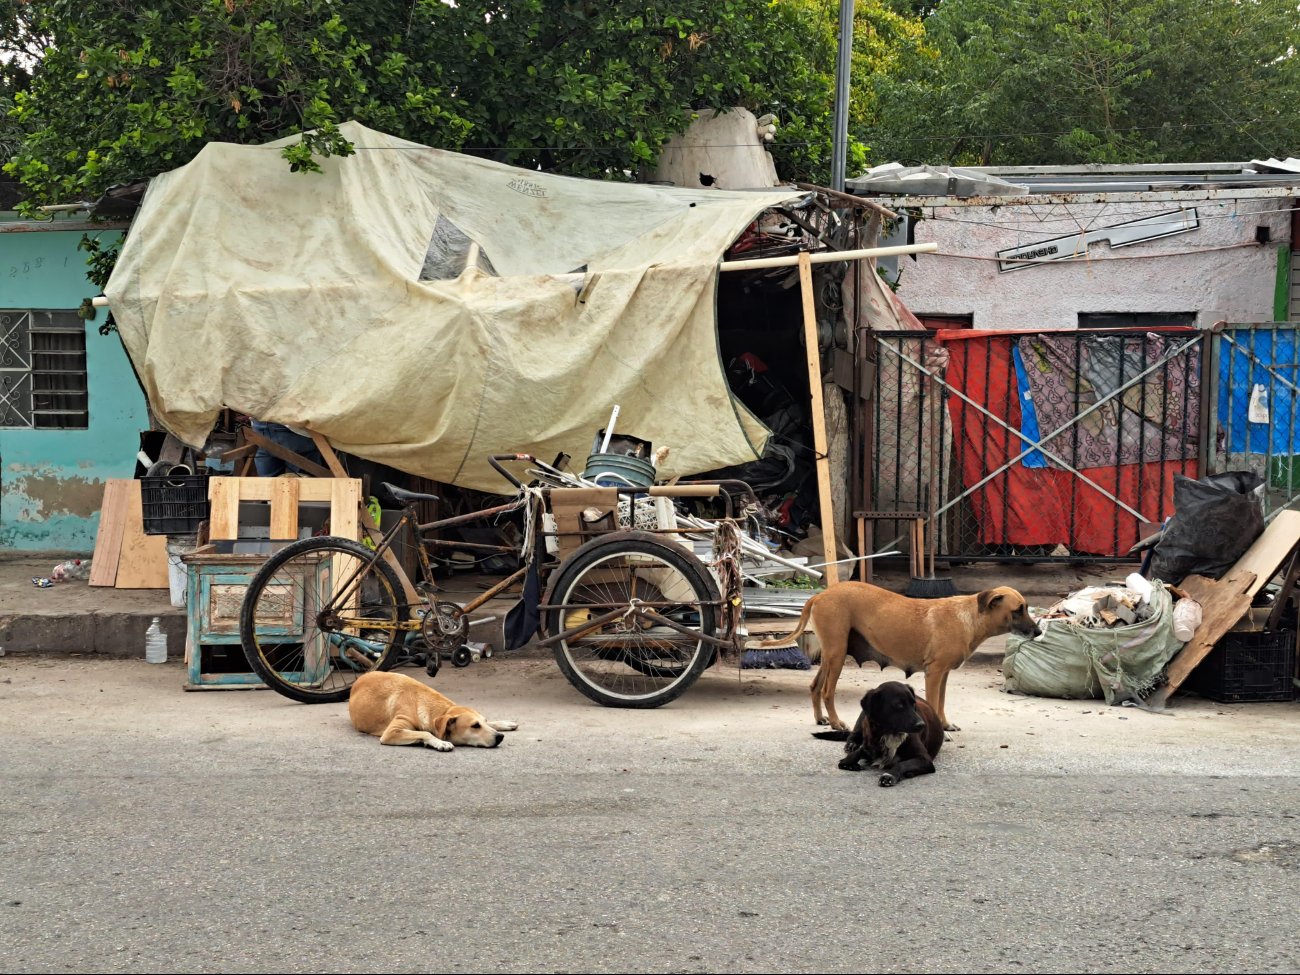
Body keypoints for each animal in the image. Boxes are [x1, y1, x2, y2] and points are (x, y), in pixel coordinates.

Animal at [356, 676, 522, 754]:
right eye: (475, 726)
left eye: (484, 722)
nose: (500, 737)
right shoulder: (391, 732)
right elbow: (425, 732)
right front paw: (440, 742)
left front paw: (502, 723)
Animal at [759, 579, 1040, 733]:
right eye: (1018, 610)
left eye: (1026, 608)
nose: (1038, 632)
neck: (970, 617)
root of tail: (821, 594)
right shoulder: (934, 673)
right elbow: (934, 704)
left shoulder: (943, 675)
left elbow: (942, 703)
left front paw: (946, 724)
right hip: (836, 654)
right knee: (827, 691)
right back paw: (837, 723)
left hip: (830, 655)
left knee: (815, 686)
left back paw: (820, 719)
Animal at [811, 681, 946, 790]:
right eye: (899, 705)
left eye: (914, 704)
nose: (921, 725)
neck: (889, 734)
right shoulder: (870, 743)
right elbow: (857, 753)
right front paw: (848, 761)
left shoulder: (924, 759)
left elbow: (902, 764)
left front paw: (890, 775)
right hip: (864, 716)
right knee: (854, 735)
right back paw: (852, 744)